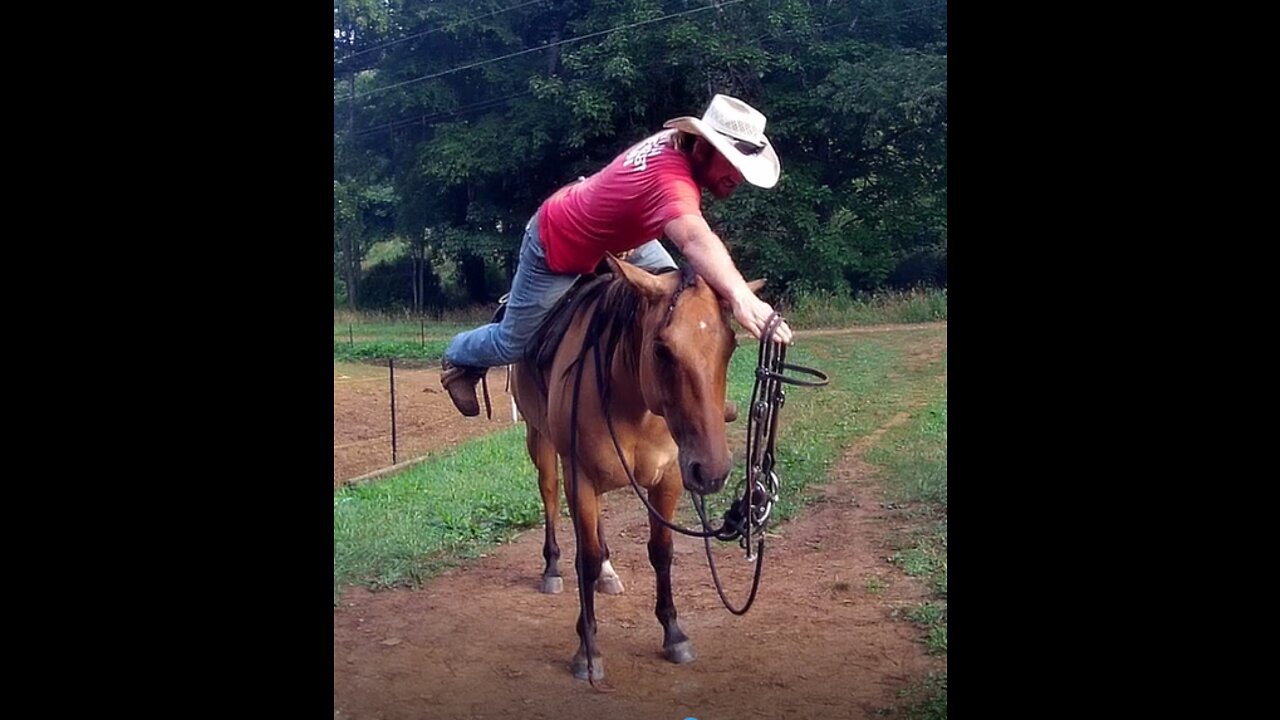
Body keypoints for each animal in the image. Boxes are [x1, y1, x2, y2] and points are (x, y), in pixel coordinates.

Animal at [506, 256, 757, 676]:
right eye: (661, 349)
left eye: (731, 345)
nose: (712, 471)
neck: (632, 400)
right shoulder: (579, 474)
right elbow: (586, 559)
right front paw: (587, 649)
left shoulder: (668, 478)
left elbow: (661, 551)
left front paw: (674, 634)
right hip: (540, 439)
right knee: (550, 496)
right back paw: (552, 568)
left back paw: (609, 574)